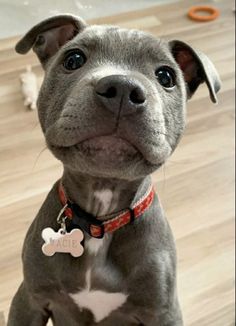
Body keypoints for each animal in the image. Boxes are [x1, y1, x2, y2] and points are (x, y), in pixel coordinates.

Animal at [7, 14, 221, 326]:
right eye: (73, 59)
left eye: (166, 77)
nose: (122, 88)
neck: (100, 217)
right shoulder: (29, 299)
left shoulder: (164, 312)